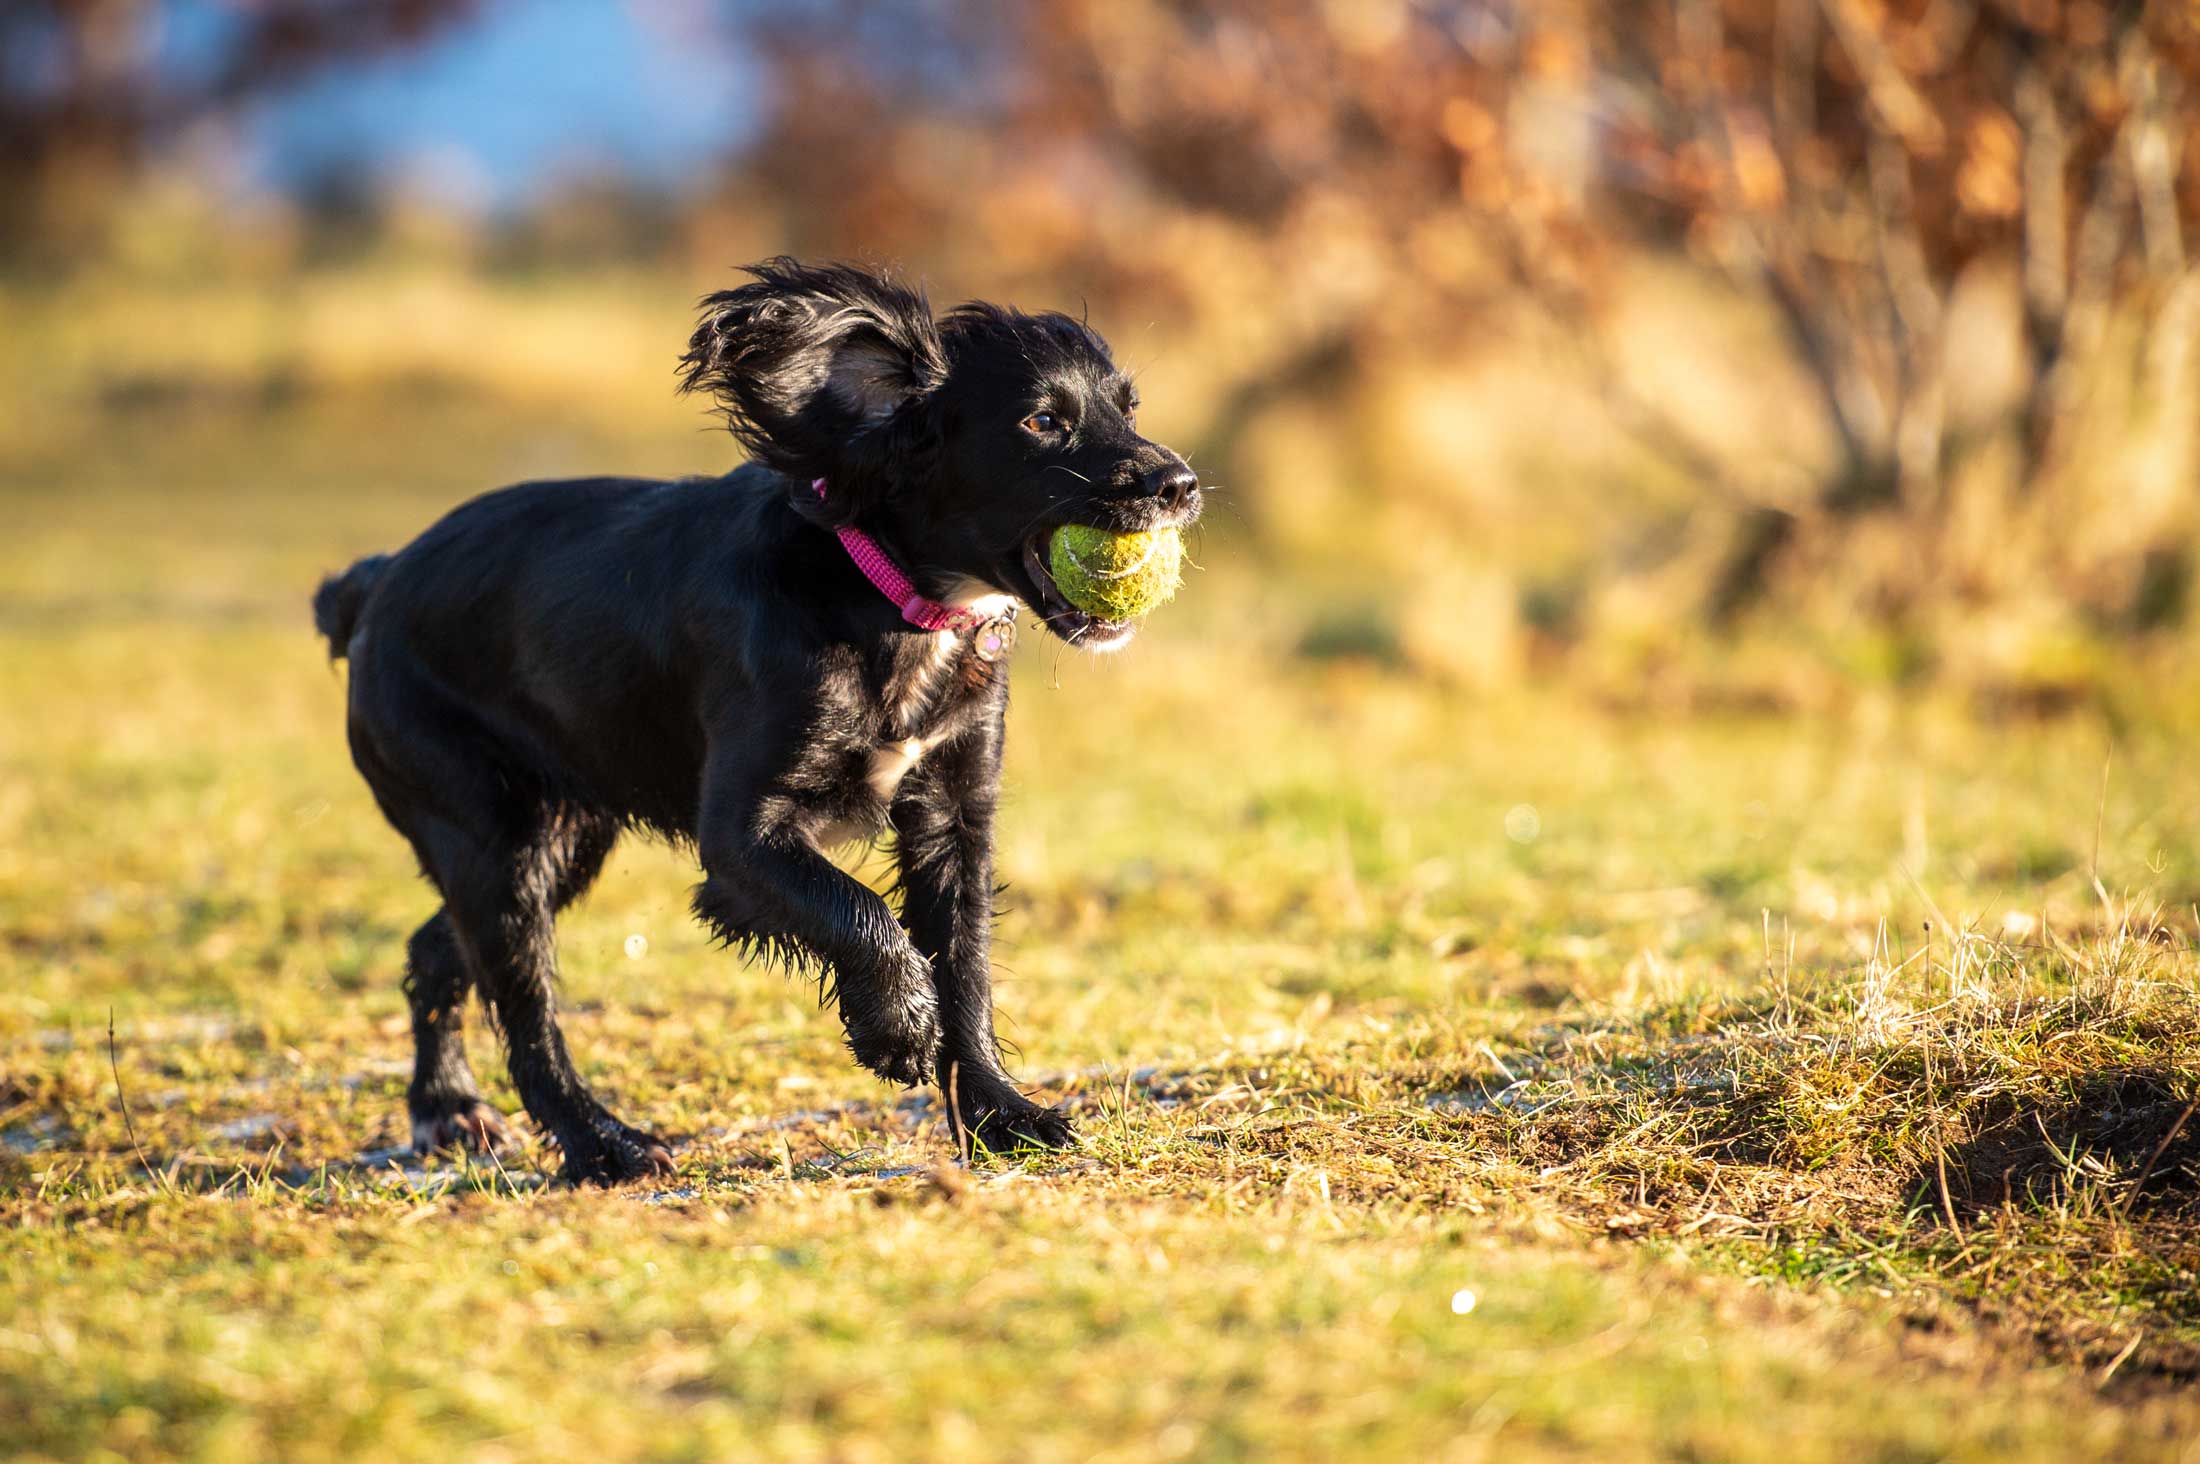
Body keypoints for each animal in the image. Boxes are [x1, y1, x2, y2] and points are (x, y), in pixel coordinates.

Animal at [310, 256, 1196, 1180]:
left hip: (555, 838)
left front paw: (1003, 1116)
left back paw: (446, 1107)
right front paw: (896, 1026)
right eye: (1042, 421)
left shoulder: (956, 811)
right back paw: (605, 1145)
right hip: (490, 836)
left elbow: (966, 966)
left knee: (435, 952)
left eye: (1128, 407)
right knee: (527, 1021)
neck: (889, 601)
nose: (1181, 486)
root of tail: (374, 585)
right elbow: (860, 913)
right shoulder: (742, 838)